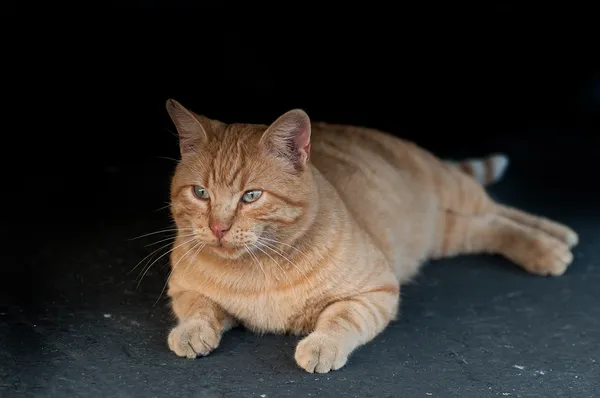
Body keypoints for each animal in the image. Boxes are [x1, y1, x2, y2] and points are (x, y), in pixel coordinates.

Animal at [163, 99, 576, 374]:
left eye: (251, 196)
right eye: (200, 193)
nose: (218, 228)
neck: (256, 269)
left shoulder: (376, 290)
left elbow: (340, 318)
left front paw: (322, 346)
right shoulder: (182, 288)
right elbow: (198, 307)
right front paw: (191, 332)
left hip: (455, 192)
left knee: (501, 210)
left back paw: (557, 240)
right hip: (443, 234)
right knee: (486, 225)